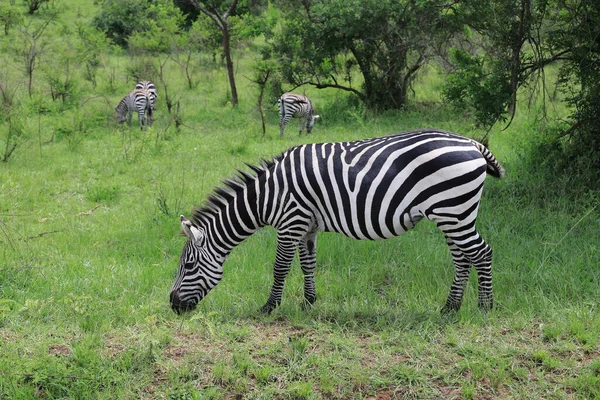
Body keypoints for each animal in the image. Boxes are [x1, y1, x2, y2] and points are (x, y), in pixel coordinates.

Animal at [170, 130, 506, 314]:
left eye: (188, 266)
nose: (172, 306)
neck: (268, 196)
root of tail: (473, 144)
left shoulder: (290, 222)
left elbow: (280, 267)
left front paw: (268, 307)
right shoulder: (307, 226)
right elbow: (307, 264)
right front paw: (308, 302)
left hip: (453, 211)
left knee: (482, 253)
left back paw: (484, 307)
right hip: (453, 214)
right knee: (463, 258)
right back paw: (450, 307)